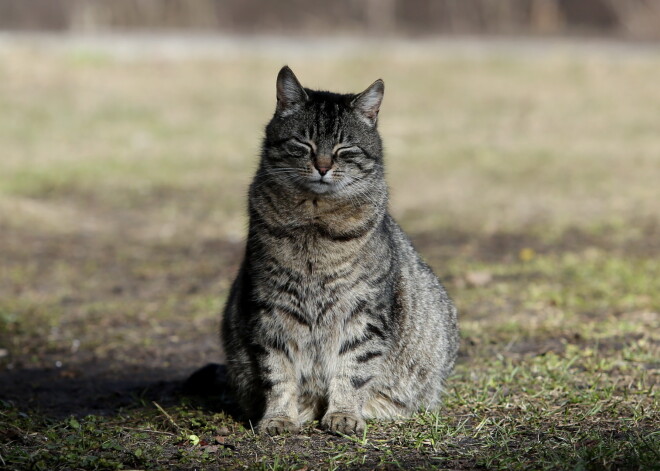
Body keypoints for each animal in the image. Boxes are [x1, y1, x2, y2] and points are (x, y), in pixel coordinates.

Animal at [222, 65, 458, 436]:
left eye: (344, 147)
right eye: (303, 143)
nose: (322, 166)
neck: (314, 223)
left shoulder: (364, 312)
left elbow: (353, 367)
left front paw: (344, 413)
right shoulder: (269, 310)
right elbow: (277, 371)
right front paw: (278, 417)